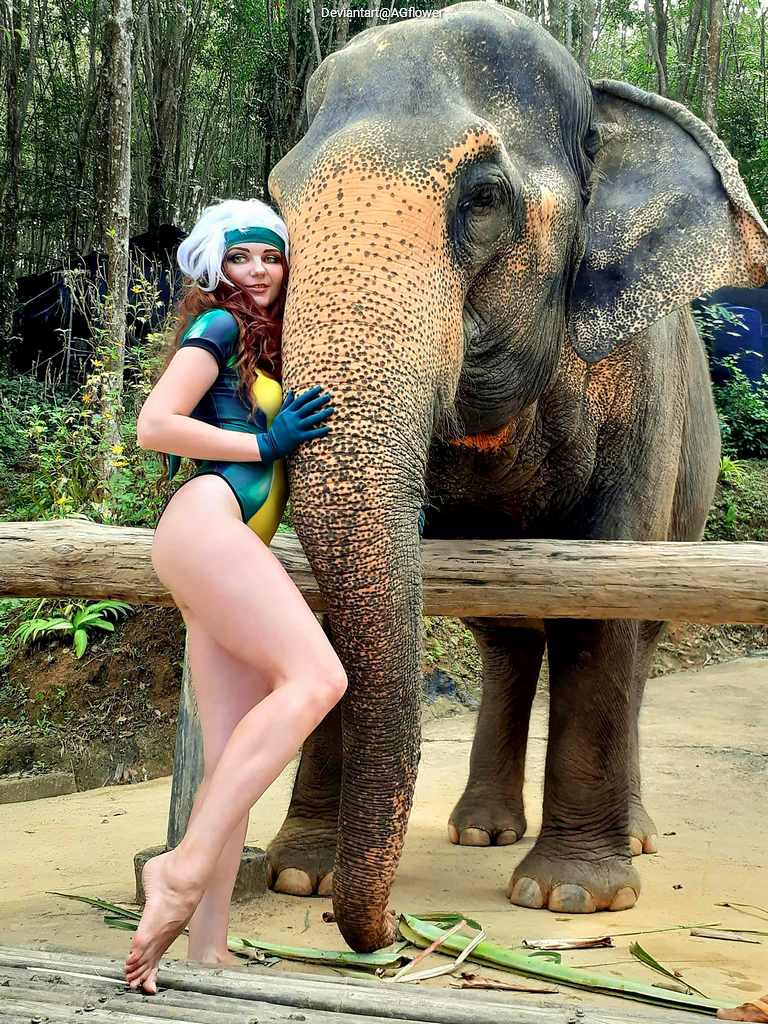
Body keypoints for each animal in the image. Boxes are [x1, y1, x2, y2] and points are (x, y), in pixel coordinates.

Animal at [264, 1, 768, 953]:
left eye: (485, 199)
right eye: (278, 201)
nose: (388, 931)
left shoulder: (641, 386)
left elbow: (603, 593)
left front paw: (573, 897)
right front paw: (298, 875)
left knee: (638, 638)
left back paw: (630, 839)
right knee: (506, 638)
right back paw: (479, 830)